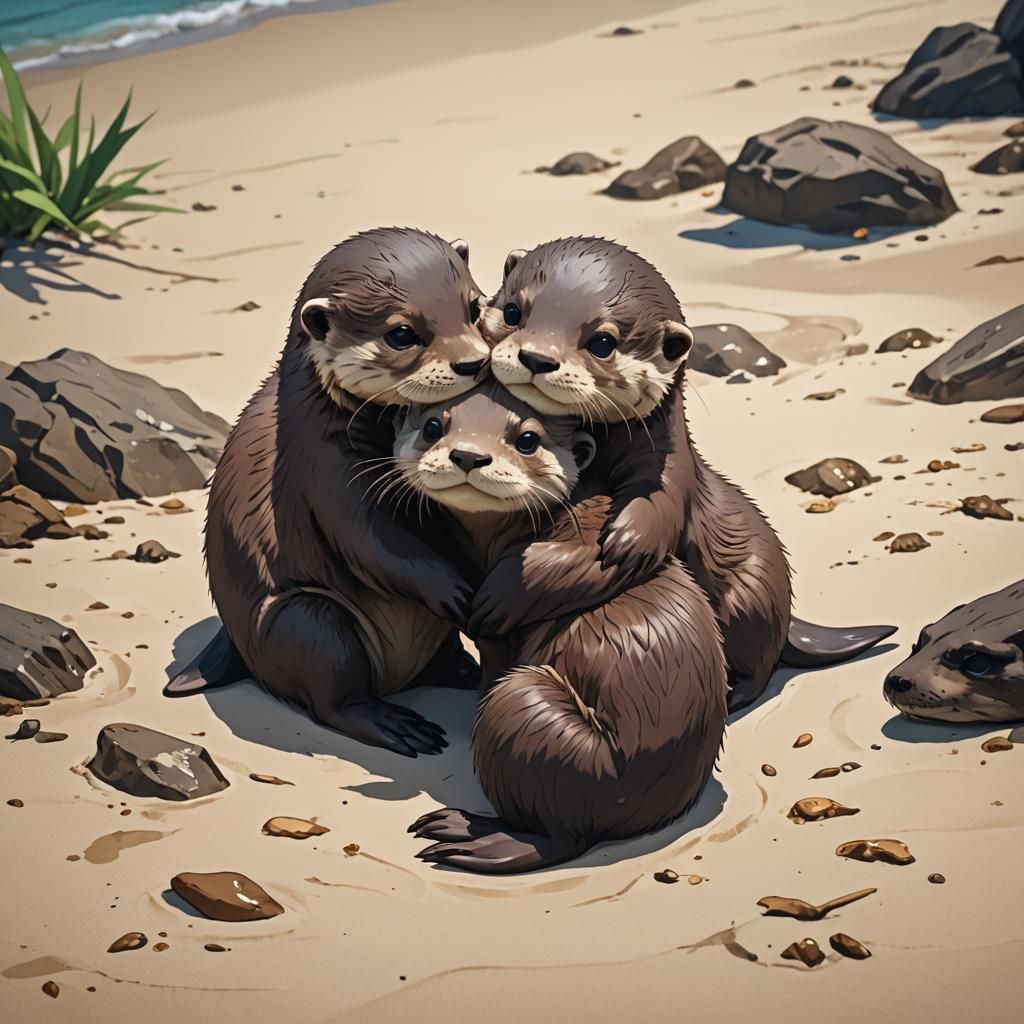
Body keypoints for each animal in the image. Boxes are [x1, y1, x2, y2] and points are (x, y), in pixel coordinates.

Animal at [164, 228, 492, 756]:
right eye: (402, 333)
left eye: (475, 306)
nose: (474, 362)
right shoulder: (322, 470)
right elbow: (374, 547)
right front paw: (456, 590)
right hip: (309, 624)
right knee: (331, 700)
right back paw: (394, 724)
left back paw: (462, 668)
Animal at [395, 383, 728, 873]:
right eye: (433, 425)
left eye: (527, 439)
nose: (469, 456)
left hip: (531, 715)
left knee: (562, 836)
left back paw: (467, 833)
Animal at [476, 237, 894, 710]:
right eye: (513, 311)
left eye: (602, 342)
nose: (536, 357)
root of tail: (788, 614)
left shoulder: (669, 468)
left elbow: (655, 515)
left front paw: (623, 542)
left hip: (748, 593)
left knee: (762, 662)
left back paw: (738, 692)